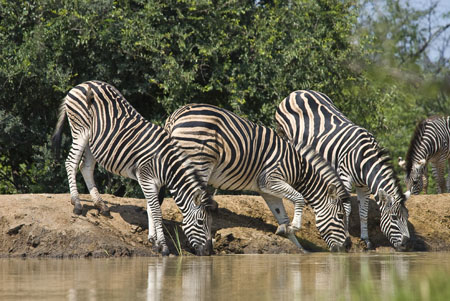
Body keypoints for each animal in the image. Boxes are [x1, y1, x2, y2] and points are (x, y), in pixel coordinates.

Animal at [50, 80, 215, 255]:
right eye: (200, 222)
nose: (209, 252)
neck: (166, 164)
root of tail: (83, 83)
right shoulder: (147, 179)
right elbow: (157, 212)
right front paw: (163, 246)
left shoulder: (153, 183)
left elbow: (151, 209)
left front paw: (153, 241)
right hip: (80, 130)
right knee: (71, 163)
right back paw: (77, 203)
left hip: (92, 140)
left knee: (86, 167)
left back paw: (101, 205)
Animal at [163, 103, 354, 251]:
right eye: (340, 216)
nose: (347, 247)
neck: (299, 169)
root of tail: (176, 116)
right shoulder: (270, 179)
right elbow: (299, 198)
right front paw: (294, 227)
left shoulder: (267, 190)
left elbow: (282, 216)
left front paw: (295, 244)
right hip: (198, 163)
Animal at [274, 90, 412, 250]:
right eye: (394, 218)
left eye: (407, 217)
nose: (406, 244)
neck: (364, 158)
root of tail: (298, 92)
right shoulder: (345, 175)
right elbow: (346, 208)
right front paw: (347, 238)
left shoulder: (363, 186)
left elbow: (363, 212)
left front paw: (366, 240)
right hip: (284, 133)